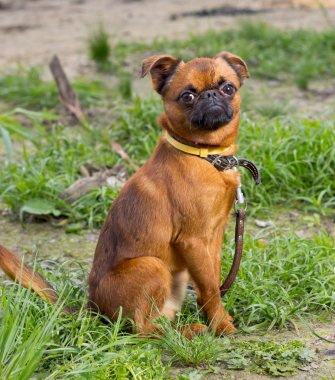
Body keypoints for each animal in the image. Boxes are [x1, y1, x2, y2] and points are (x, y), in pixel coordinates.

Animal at [0, 49, 249, 336]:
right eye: (187, 96)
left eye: (228, 88)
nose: (211, 95)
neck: (205, 155)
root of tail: (94, 310)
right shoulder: (193, 241)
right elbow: (209, 288)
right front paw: (220, 325)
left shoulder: (214, 237)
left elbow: (212, 279)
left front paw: (220, 317)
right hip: (152, 264)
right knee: (144, 329)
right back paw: (187, 332)